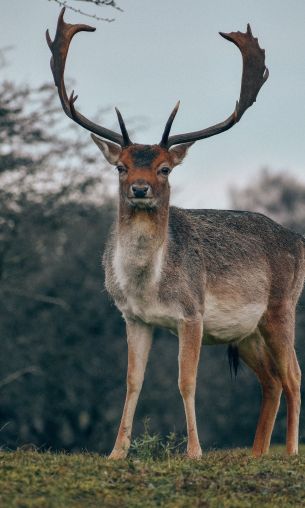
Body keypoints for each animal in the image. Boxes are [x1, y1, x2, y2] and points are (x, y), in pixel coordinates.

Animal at [46, 6, 302, 460]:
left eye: (165, 168)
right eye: (121, 166)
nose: (140, 188)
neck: (149, 285)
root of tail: (299, 240)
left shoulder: (192, 313)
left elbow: (186, 381)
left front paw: (194, 451)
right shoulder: (132, 317)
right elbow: (132, 381)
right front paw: (116, 452)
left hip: (282, 307)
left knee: (293, 376)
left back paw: (288, 452)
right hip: (247, 332)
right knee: (272, 380)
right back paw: (256, 453)